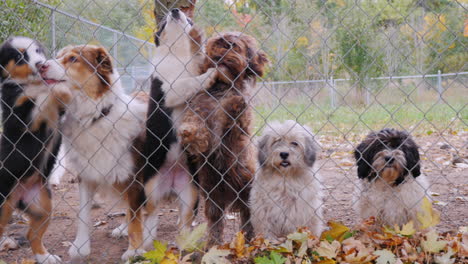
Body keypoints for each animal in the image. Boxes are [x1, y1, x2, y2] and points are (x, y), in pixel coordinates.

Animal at [178, 32, 268, 246]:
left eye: (232, 46)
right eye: (214, 47)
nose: (218, 57)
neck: (222, 89)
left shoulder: (238, 129)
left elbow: (233, 115)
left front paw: (235, 104)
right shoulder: (199, 110)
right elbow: (196, 126)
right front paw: (187, 132)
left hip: (246, 192)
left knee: (247, 219)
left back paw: (249, 241)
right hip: (213, 197)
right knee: (215, 222)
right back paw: (213, 243)